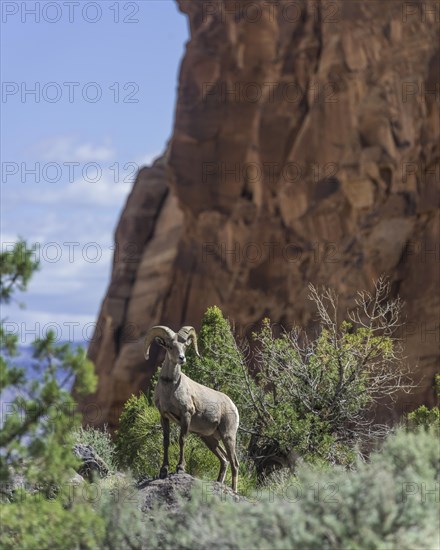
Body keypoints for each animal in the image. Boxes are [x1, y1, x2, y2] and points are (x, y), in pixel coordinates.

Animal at [144, 328, 239, 492]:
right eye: (170, 346)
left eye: (184, 346)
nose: (182, 358)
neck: (170, 389)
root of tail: (233, 405)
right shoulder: (164, 416)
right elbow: (166, 441)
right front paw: (163, 471)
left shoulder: (186, 415)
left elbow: (182, 440)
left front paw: (180, 468)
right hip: (210, 439)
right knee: (225, 460)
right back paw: (219, 483)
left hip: (228, 436)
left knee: (234, 463)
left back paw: (233, 490)